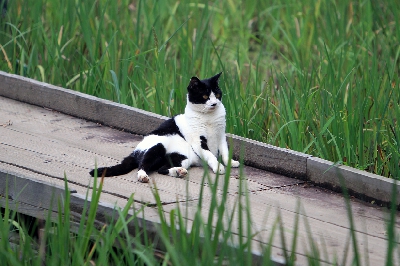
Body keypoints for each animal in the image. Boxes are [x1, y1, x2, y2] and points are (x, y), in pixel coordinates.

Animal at [90, 71, 241, 182]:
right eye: (205, 96)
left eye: (217, 94)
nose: (214, 103)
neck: (209, 117)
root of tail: (135, 151)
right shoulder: (198, 141)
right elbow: (210, 154)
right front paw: (218, 167)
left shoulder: (221, 135)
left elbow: (225, 151)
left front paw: (230, 163)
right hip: (158, 147)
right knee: (143, 166)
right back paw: (143, 176)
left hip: (182, 158)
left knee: (161, 169)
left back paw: (179, 172)